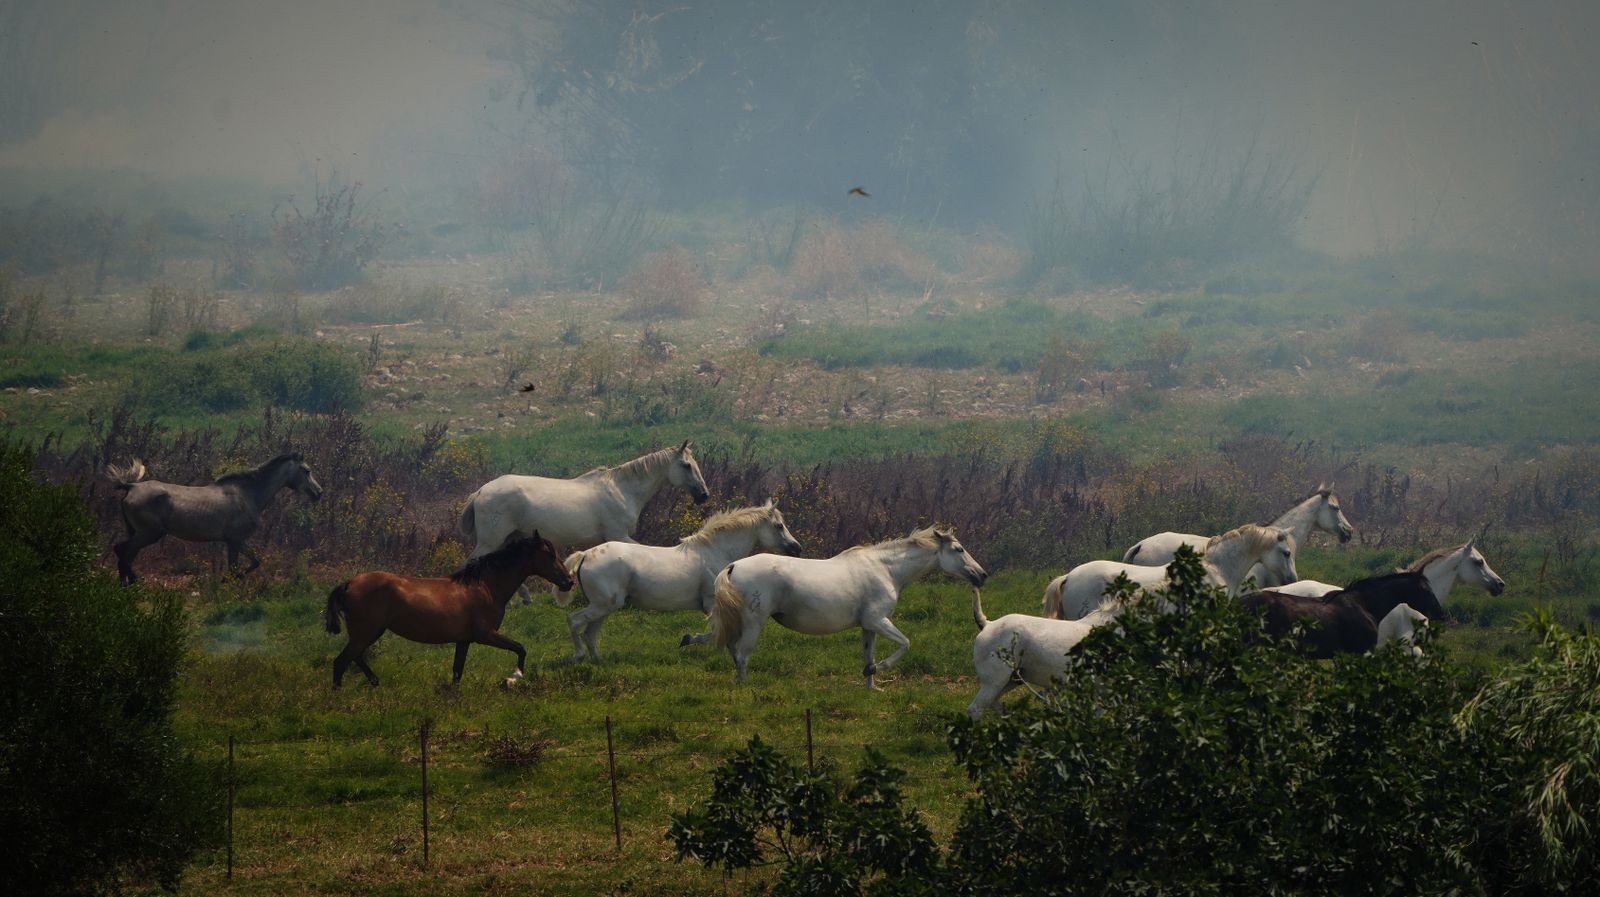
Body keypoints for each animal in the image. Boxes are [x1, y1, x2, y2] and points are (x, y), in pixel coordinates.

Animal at [107, 453, 324, 586]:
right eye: (307, 470)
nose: (319, 492)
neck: (249, 494)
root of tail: (131, 486)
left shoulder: (237, 540)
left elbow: (255, 561)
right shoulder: (234, 540)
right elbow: (235, 567)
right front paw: (226, 584)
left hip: (138, 533)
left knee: (125, 554)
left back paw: (126, 585)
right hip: (149, 533)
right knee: (122, 552)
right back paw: (135, 581)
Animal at [322, 532, 573, 689]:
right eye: (550, 555)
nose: (569, 582)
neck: (486, 586)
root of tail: (349, 583)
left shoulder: (464, 640)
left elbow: (457, 671)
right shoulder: (486, 635)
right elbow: (520, 649)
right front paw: (514, 678)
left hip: (367, 633)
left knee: (354, 658)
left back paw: (374, 681)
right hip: (367, 632)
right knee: (342, 661)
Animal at [458, 441, 710, 602]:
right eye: (687, 465)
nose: (704, 495)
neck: (622, 490)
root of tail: (480, 491)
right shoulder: (618, 535)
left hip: (507, 538)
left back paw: (525, 598)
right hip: (491, 540)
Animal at [557, 501, 803, 664]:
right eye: (779, 526)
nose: (797, 548)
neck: (714, 552)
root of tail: (585, 555)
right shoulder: (711, 604)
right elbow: (716, 633)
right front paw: (686, 640)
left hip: (605, 607)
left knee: (589, 633)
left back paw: (598, 661)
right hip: (602, 605)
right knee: (574, 621)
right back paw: (577, 656)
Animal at [709, 525, 987, 689]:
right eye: (959, 549)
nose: (982, 575)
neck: (886, 569)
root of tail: (732, 566)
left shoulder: (868, 626)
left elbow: (868, 654)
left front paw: (871, 685)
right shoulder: (877, 620)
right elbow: (905, 644)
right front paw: (877, 669)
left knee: (733, 649)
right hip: (753, 623)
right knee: (743, 656)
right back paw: (744, 686)